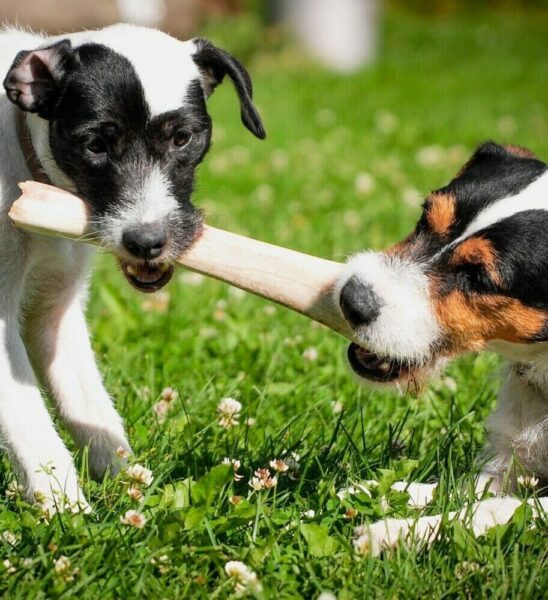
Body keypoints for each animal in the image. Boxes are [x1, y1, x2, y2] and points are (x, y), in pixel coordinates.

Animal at [0, 22, 266, 510]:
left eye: (182, 138)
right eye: (95, 145)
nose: (146, 242)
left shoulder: (56, 314)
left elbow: (89, 405)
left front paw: (129, 487)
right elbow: (31, 423)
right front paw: (67, 510)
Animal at [334, 143, 548, 556]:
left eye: (477, 277)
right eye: (423, 217)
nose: (352, 299)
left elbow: (497, 510)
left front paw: (397, 532)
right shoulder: (511, 464)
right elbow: (463, 491)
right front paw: (388, 491)